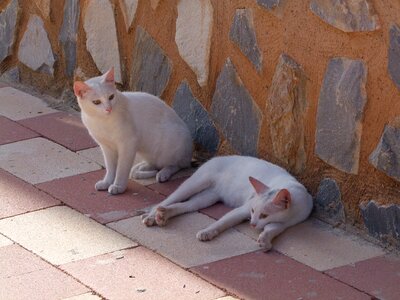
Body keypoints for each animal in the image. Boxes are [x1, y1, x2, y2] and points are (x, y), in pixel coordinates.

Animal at [76, 67, 195, 195]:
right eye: (96, 102)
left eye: (111, 97)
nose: (108, 109)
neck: (102, 121)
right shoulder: (107, 147)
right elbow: (111, 168)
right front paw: (107, 182)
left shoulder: (128, 144)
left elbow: (121, 169)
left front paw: (118, 186)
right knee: (156, 164)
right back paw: (143, 167)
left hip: (170, 145)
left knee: (178, 165)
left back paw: (164, 174)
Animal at [142, 156, 314, 250]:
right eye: (252, 211)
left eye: (264, 215)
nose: (251, 224)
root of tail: (218, 157)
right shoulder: (243, 209)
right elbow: (223, 222)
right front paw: (207, 232)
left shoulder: (286, 222)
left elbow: (272, 228)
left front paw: (265, 240)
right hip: (196, 183)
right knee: (168, 199)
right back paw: (152, 216)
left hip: (207, 198)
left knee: (186, 206)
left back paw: (163, 215)